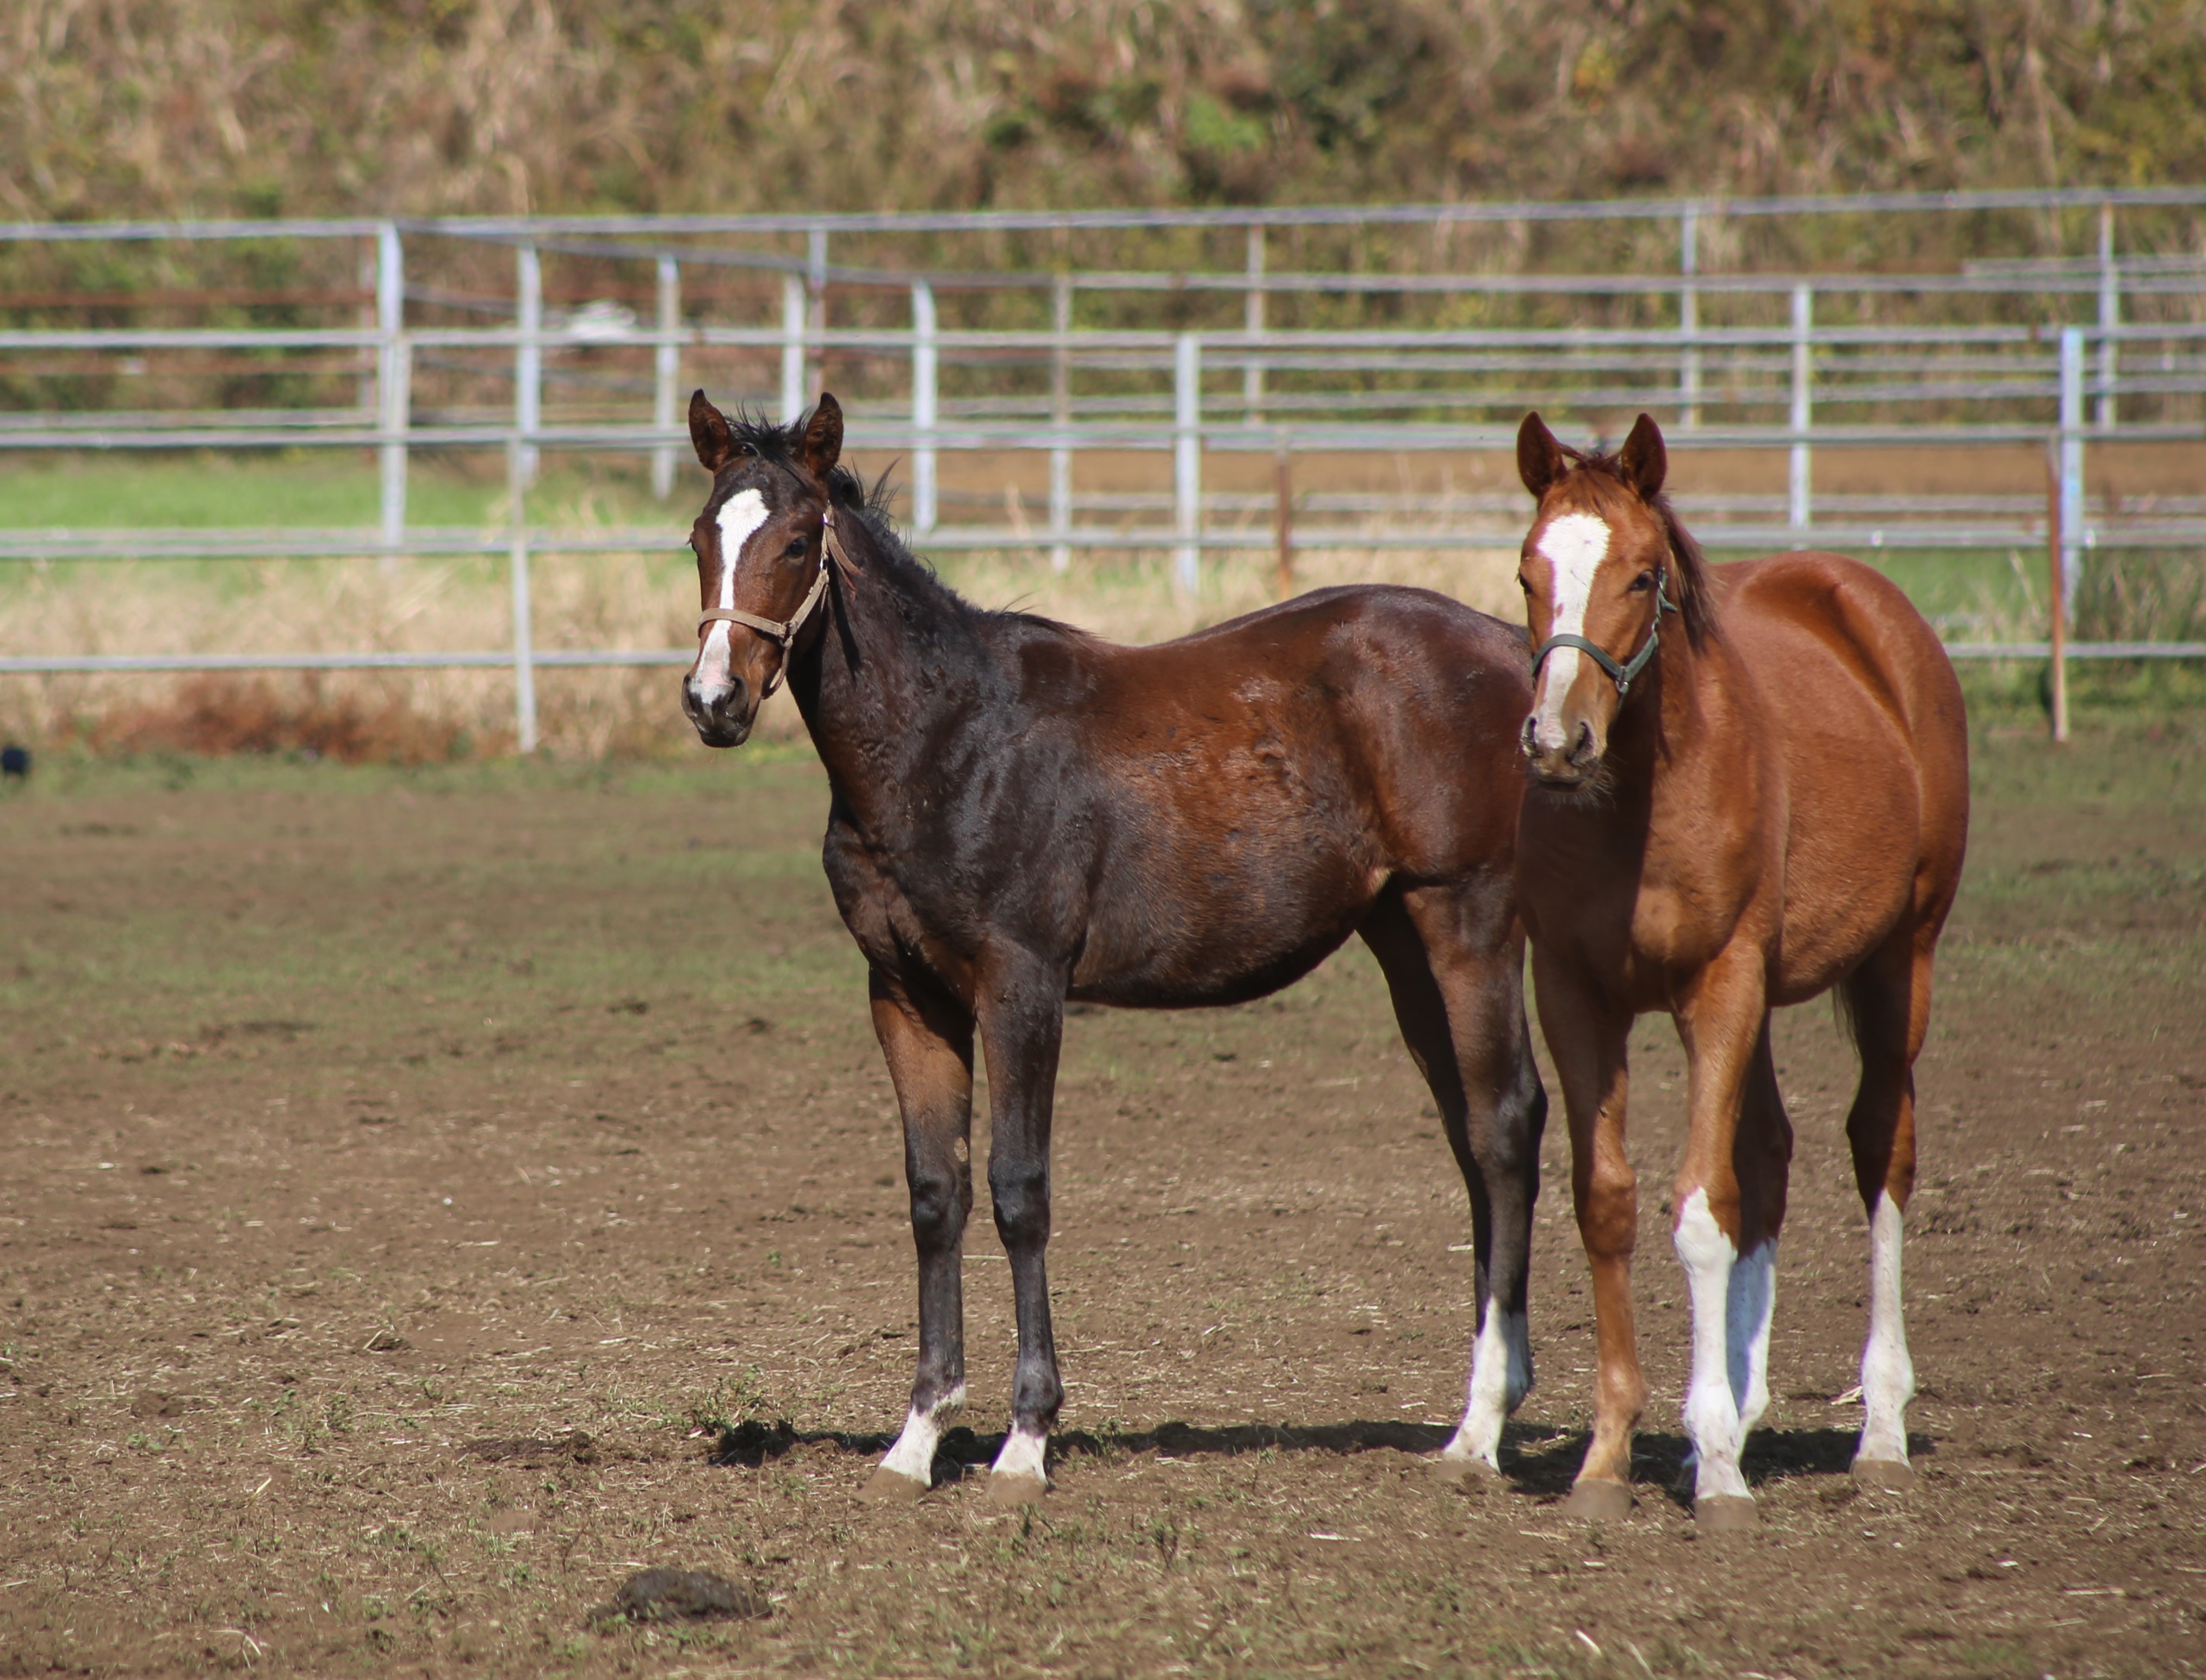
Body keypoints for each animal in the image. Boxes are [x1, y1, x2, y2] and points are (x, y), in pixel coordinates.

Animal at [679, 396, 1544, 1508]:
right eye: (699, 539)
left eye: (795, 543)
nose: (715, 701)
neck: (948, 737)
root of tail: (1513, 646)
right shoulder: (907, 991)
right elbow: (934, 1195)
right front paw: (917, 1437)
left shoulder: (1023, 984)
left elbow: (1019, 1191)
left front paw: (1025, 1439)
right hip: (1403, 937)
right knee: (1471, 1132)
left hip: (1468, 917)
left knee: (1506, 1124)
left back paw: (1482, 1425)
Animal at [1517, 412, 1967, 1526]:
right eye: (1527, 573)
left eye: (1641, 575)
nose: (1556, 741)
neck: (1641, 799)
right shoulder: (1573, 993)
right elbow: (1609, 1200)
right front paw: (1611, 1457)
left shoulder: (1717, 985)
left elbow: (1698, 1211)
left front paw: (1718, 1463)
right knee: (1769, 1152)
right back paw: (1742, 1407)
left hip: (1901, 959)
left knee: (1880, 1148)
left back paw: (1879, 1429)